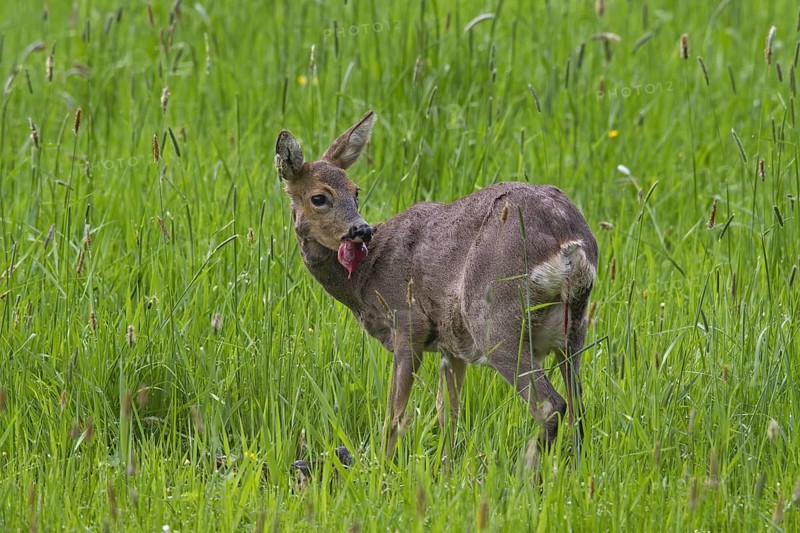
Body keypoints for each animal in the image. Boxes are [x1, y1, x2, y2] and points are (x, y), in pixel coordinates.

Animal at [275, 111, 598, 459]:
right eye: (319, 197)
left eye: (355, 191)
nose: (360, 230)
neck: (367, 280)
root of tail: (569, 240)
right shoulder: (451, 344)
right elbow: (448, 415)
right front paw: (448, 465)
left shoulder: (408, 323)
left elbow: (394, 415)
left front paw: (383, 464)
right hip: (573, 327)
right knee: (578, 407)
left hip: (495, 317)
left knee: (550, 406)